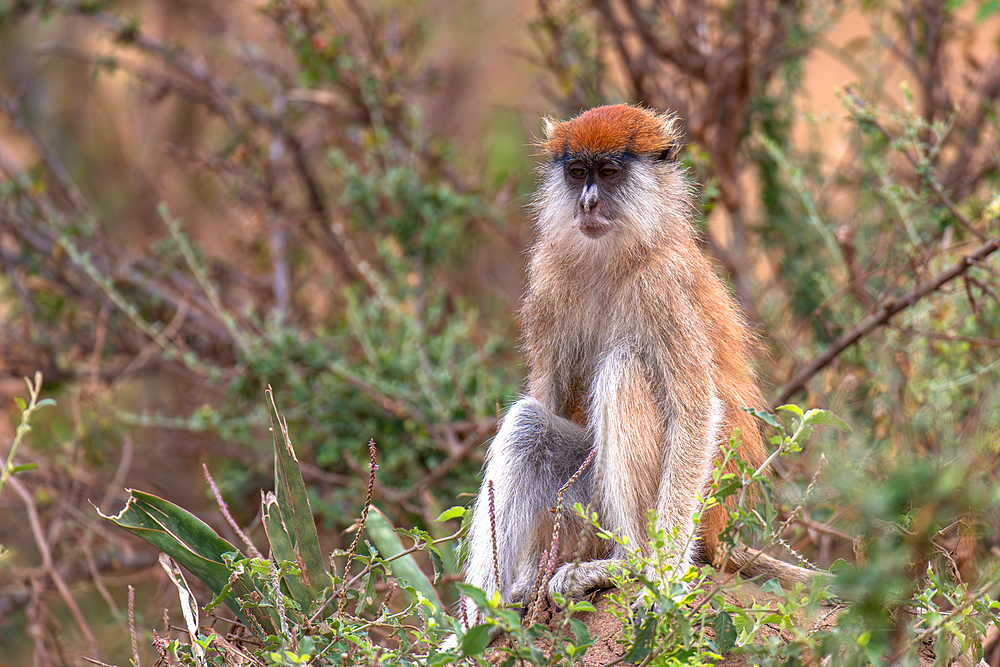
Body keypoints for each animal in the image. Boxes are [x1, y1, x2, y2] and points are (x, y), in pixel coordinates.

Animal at [458, 103, 816, 632]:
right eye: (577, 172)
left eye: (609, 172)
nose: (586, 203)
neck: (616, 254)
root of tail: (717, 534)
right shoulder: (547, 280)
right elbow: (546, 398)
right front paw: (519, 582)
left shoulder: (662, 286)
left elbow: (694, 412)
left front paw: (663, 580)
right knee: (527, 426)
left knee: (623, 370)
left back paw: (624, 566)